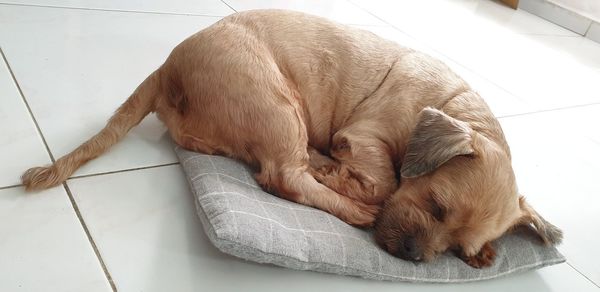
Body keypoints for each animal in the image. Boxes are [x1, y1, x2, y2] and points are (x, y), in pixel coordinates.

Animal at [19, 9, 564, 270]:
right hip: (280, 105)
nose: (412, 255)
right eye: (435, 205)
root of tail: (167, 68)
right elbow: (383, 180)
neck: (449, 104)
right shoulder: (365, 137)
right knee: (285, 177)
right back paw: (347, 199)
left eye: (455, 248)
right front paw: (351, 182)